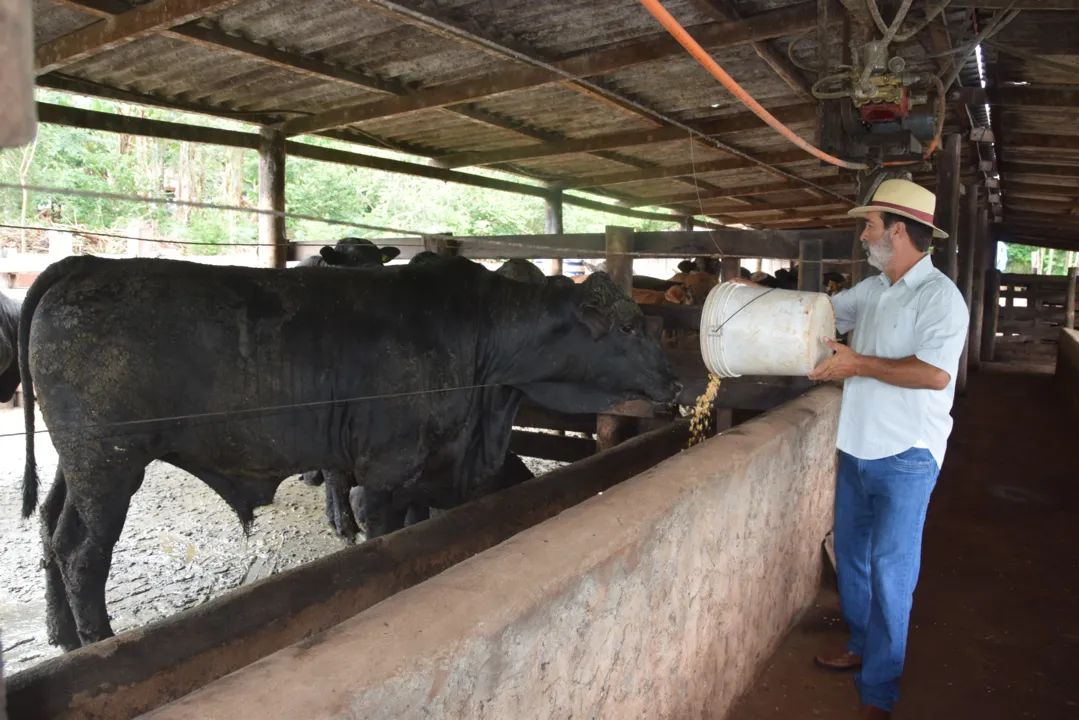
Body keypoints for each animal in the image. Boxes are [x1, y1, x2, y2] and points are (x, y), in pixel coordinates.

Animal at [16, 252, 677, 647]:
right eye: (628, 326)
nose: (673, 382)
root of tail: (84, 263)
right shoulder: (385, 470)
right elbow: (384, 532)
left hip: (77, 464)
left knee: (51, 529)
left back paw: (62, 634)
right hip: (109, 462)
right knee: (82, 553)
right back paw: (99, 641)